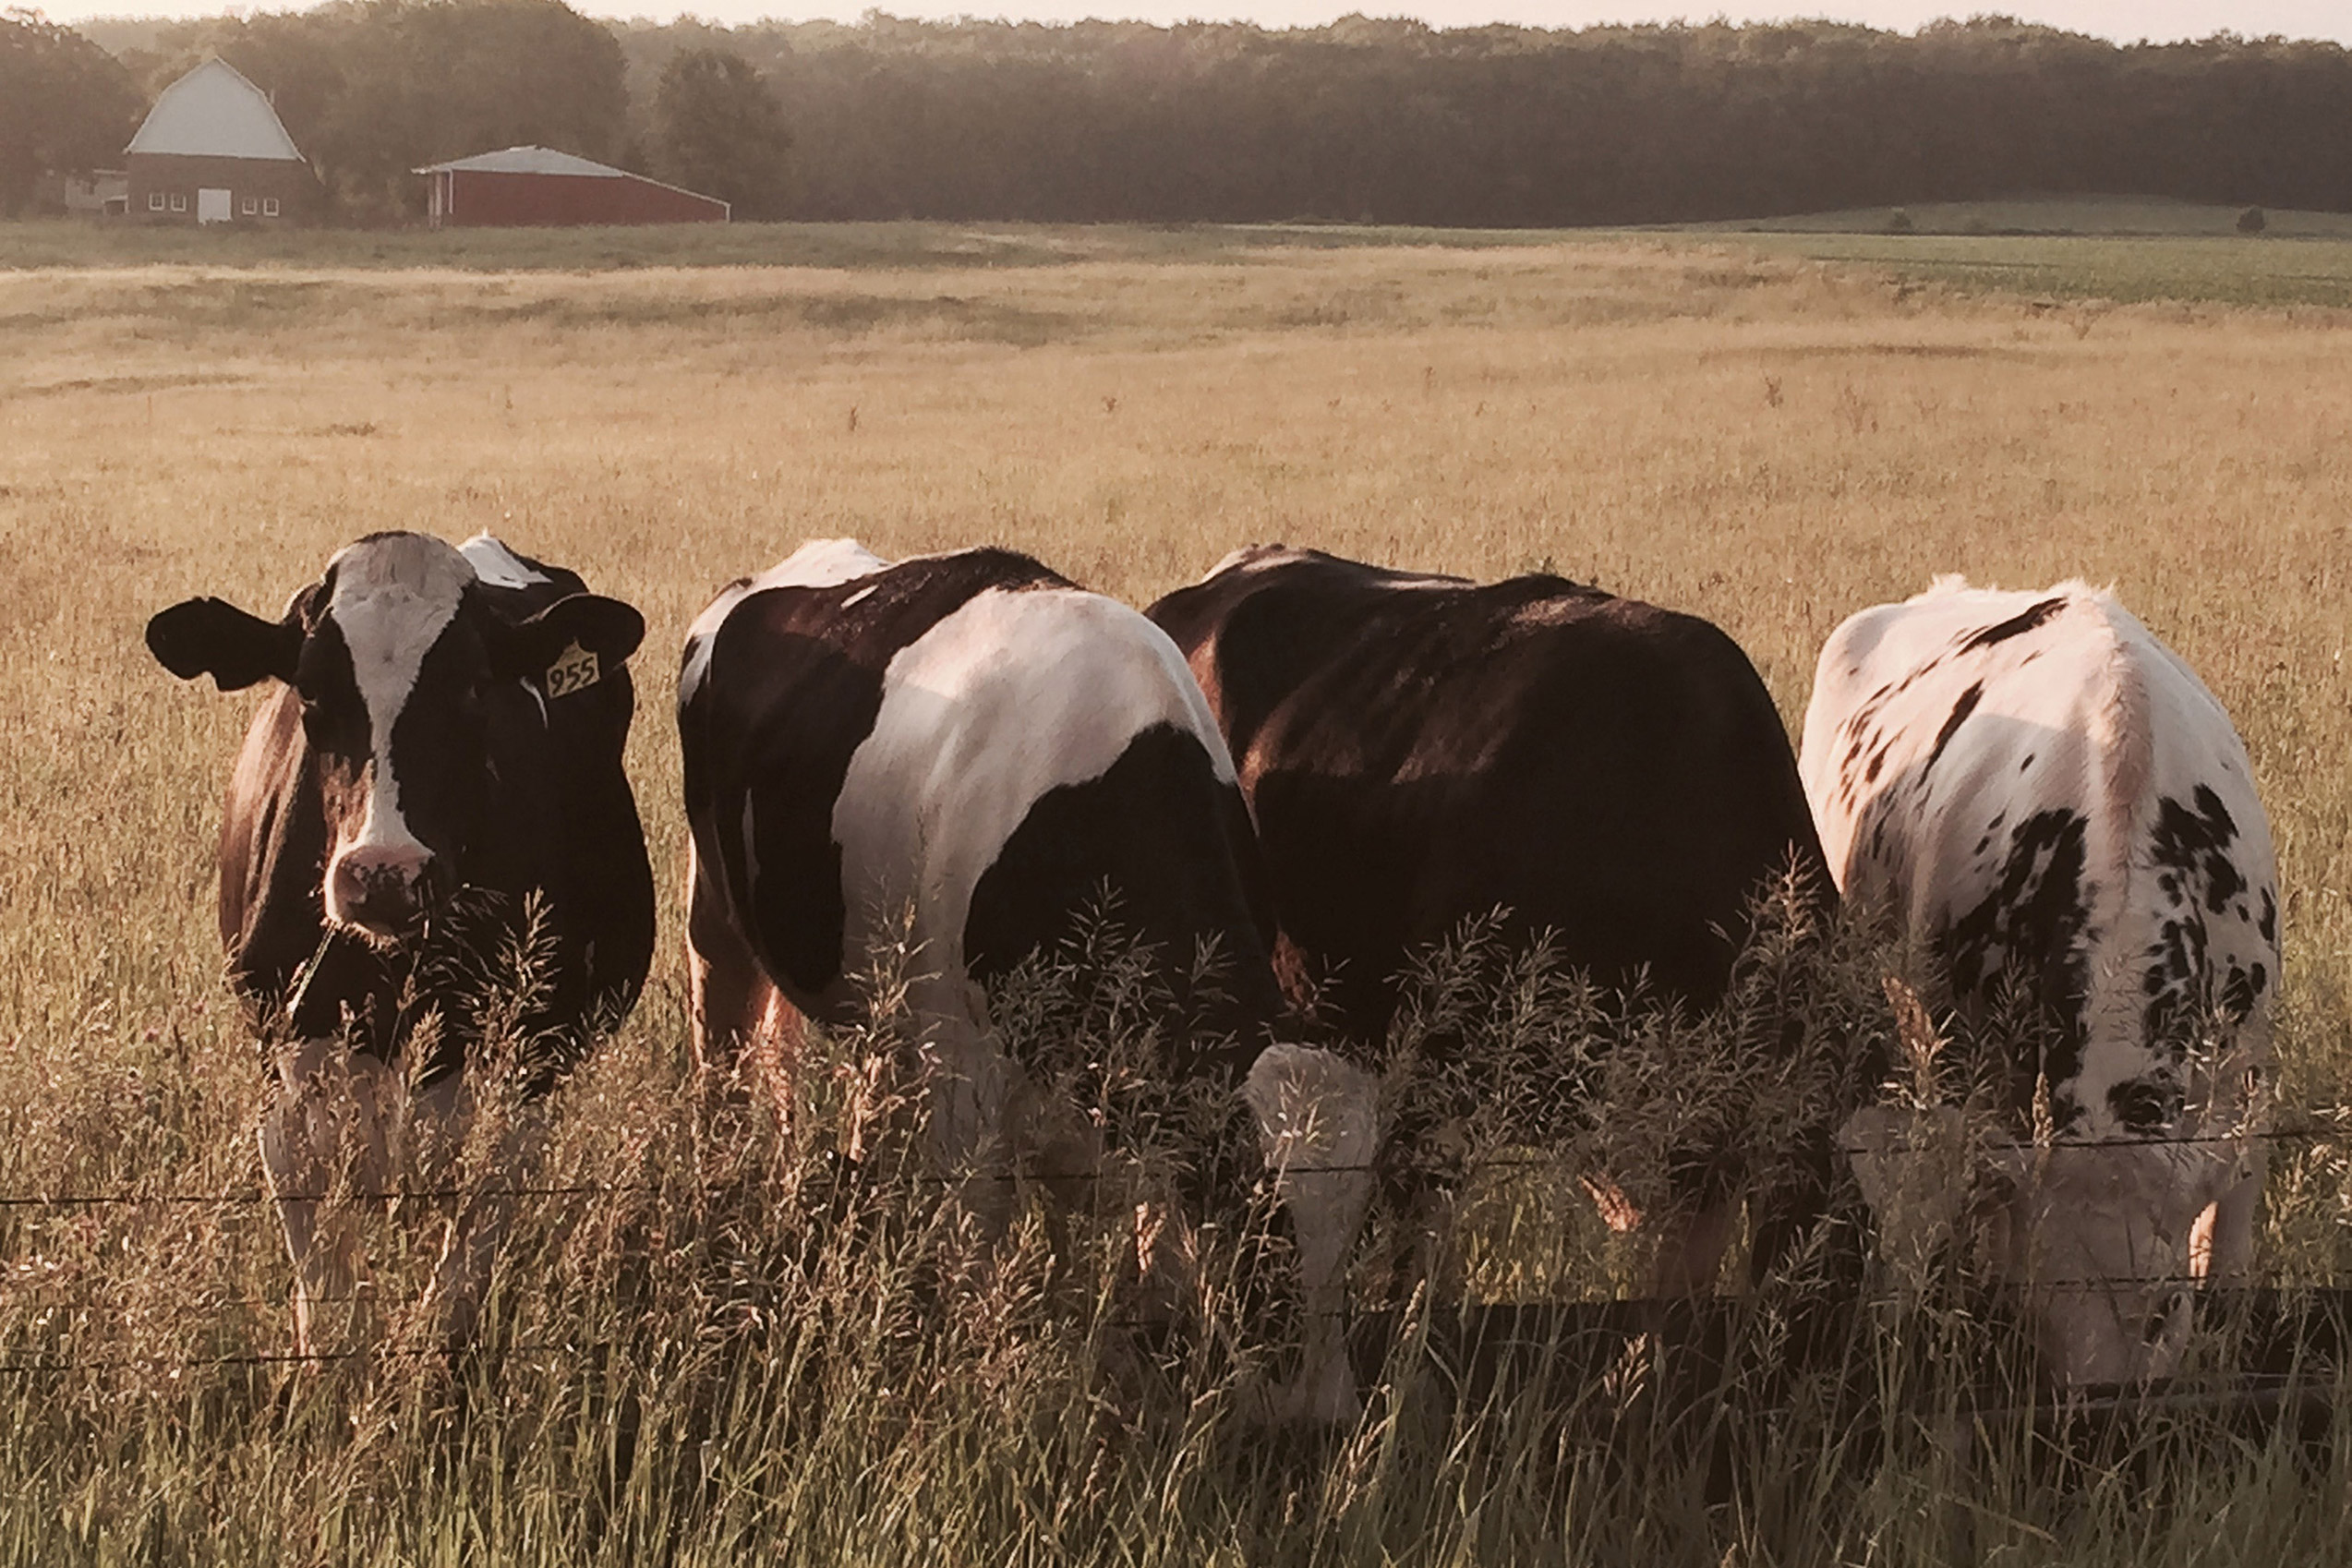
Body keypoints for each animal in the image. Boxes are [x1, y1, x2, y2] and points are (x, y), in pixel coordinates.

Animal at [146, 532, 656, 1355]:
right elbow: (324, 1281)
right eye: (309, 691)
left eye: (476, 687)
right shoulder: (287, 1065)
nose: (385, 875)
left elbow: (460, 1274)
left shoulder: (521, 1072)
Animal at [677, 539, 1379, 1422]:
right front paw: (982, 1368)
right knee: (720, 1056)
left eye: (1358, 1223)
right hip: (714, 921)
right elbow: (979, 1231)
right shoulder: (962, 1073)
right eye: (1253, 1209)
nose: (1320, 1412)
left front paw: (1158, 1319)